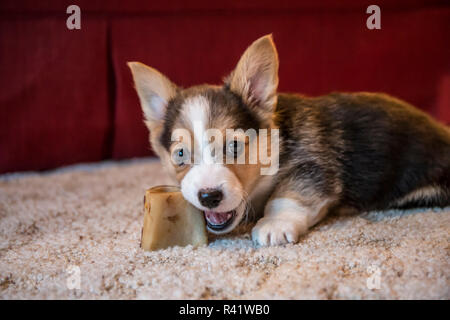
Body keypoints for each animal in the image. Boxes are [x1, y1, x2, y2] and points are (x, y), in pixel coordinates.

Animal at [127, 34, 450, 245]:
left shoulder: (313, 169)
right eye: (180, 155)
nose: (209, 197)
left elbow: (287, 195)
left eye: (234, 146)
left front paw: (274, 225)